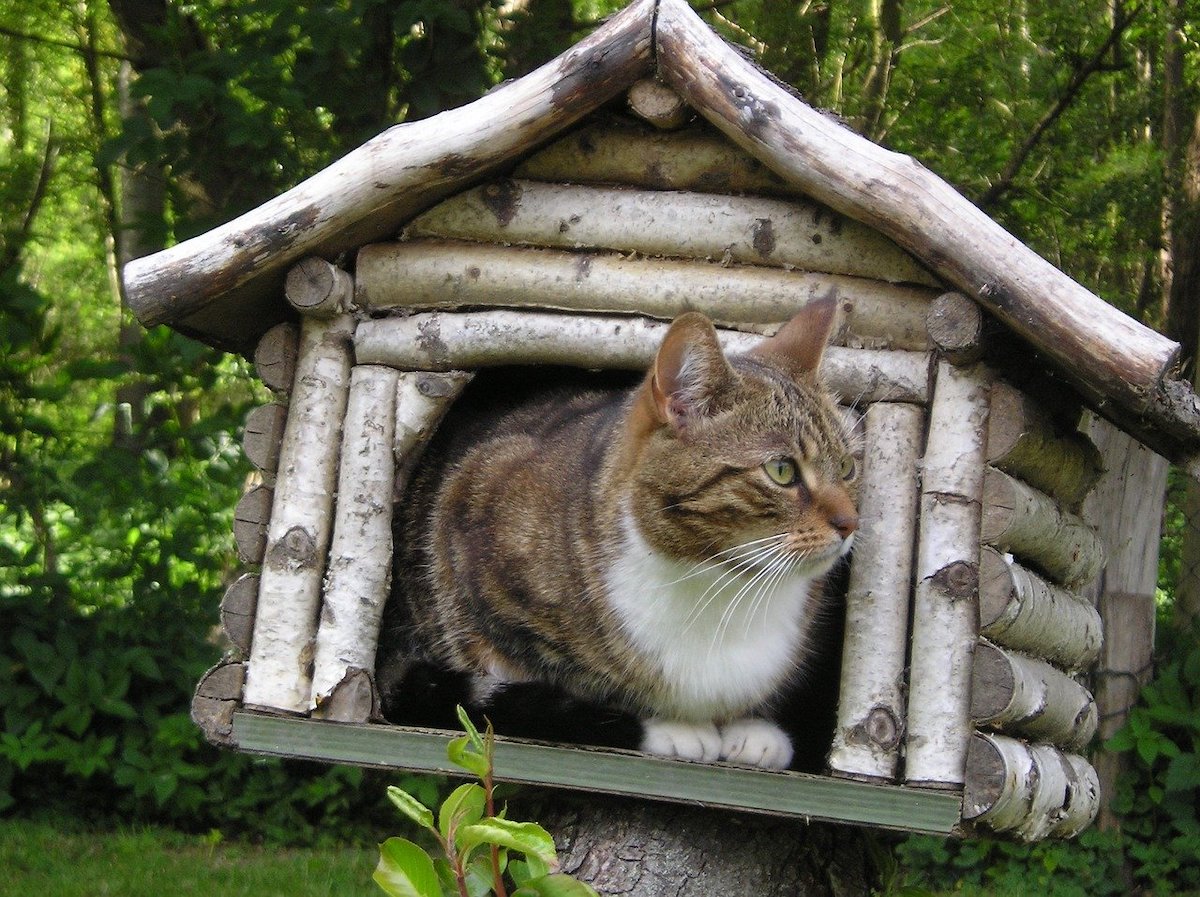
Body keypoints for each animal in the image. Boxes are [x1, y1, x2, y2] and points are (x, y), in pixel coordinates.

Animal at [379, 299, 859, 772]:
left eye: (848, 467)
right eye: (782, 470)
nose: (851, 523)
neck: (721, 581)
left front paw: (753, 728)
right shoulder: (474, 551)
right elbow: (560, 683)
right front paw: (671, 727)